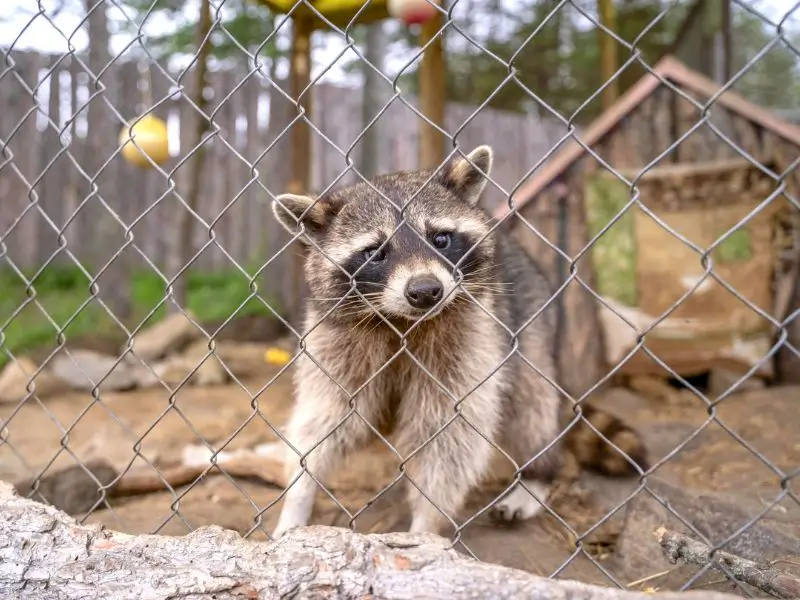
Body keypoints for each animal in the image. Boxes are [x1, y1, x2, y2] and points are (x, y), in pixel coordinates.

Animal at [269, 145, 648, 538]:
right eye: (375, 252)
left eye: (440, 239)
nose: (425, 291)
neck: (402, 322)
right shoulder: (336, 340)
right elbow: (326, 418)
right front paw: (298, 496)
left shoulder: (470, 337)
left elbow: (449, 436)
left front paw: (425, 526)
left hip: (530, 327)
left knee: (532, 407)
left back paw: (537, 473)